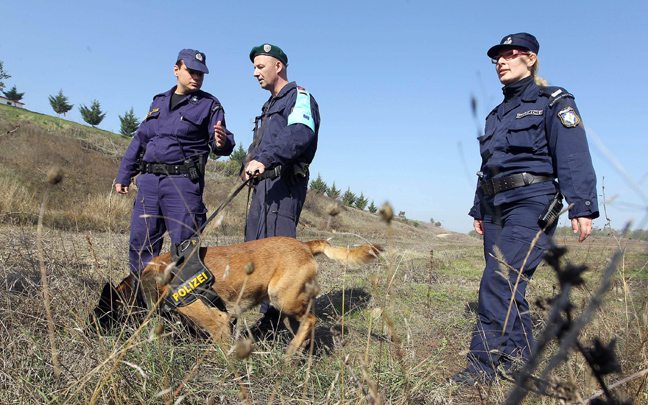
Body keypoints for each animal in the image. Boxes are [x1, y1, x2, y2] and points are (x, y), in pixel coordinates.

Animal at [93, 237, 382, 354]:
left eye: (102, 315)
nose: (90, 333)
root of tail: (306, 244)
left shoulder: (219, 324)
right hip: (288, 310)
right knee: (305, 325)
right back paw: (301, 353)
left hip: (282, 299)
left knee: (311, 320)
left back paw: (291, 353)